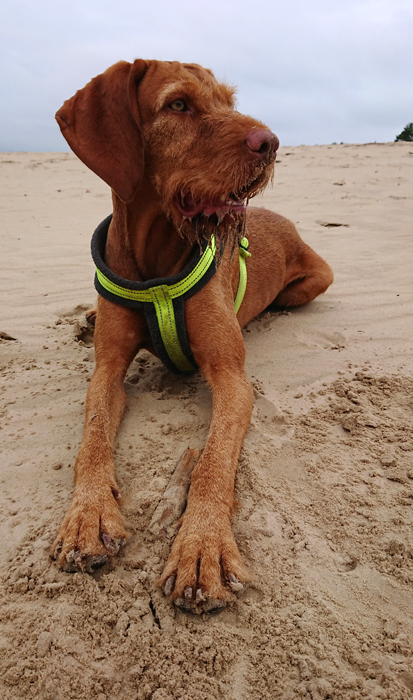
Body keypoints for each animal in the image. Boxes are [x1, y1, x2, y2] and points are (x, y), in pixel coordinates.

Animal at [52, 59, 333, 613]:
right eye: (178, 104)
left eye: (228, 101)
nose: (271, 142)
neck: (157, 267)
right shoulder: (106, 371)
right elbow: (92, 436)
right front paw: (87, 517)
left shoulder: (232, 378)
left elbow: (213, 461)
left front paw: (203, 548)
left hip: (317, 278)